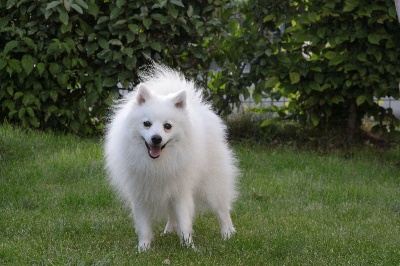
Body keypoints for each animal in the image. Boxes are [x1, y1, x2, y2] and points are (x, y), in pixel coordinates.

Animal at [104, 63, 239, 250]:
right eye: (146, 124)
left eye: (167, 126)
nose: (156, 138)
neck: (158, 163)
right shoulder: (141, 193)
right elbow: (144, 225)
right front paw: (143, 248)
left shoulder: (180, 190)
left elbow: (184, 220)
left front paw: (188, 246)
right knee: (171, 214)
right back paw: (169, 230)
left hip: (211, 184)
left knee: (222, 209)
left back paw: (227, 233)